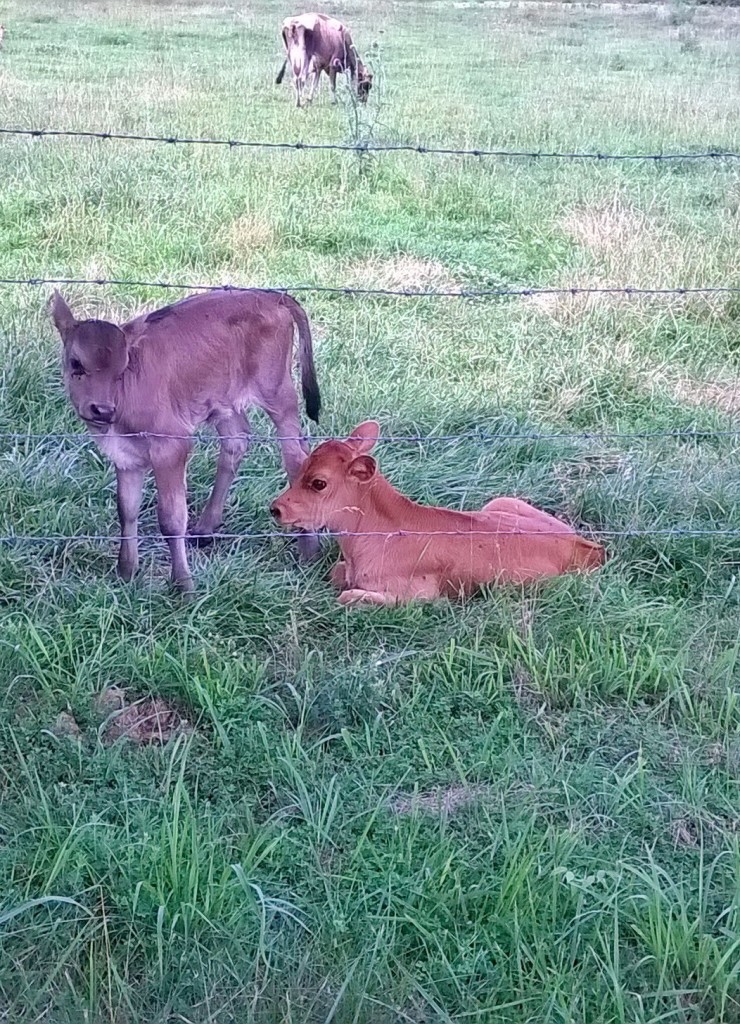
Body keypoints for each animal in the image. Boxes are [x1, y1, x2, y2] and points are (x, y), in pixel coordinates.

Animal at [49, 286, 321, 593]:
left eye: (122, 369)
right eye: (76, 363)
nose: (103, 410)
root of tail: (270, 295)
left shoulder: (171, 445)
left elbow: (171, 519)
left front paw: (183, 585)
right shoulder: (126, 454)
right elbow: (126, 510)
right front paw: (126, 572)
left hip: (277, 392)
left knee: (295, 457)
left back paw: (309, 549)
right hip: (224, 400)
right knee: (238, 440)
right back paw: (206, 529)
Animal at [272, 417, 605, 602]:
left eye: (318, 483)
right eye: (300, 467)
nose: (275, 509)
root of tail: (591, 548)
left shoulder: (418, 595)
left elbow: (347, 597)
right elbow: (335, 573)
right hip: (501, 501)